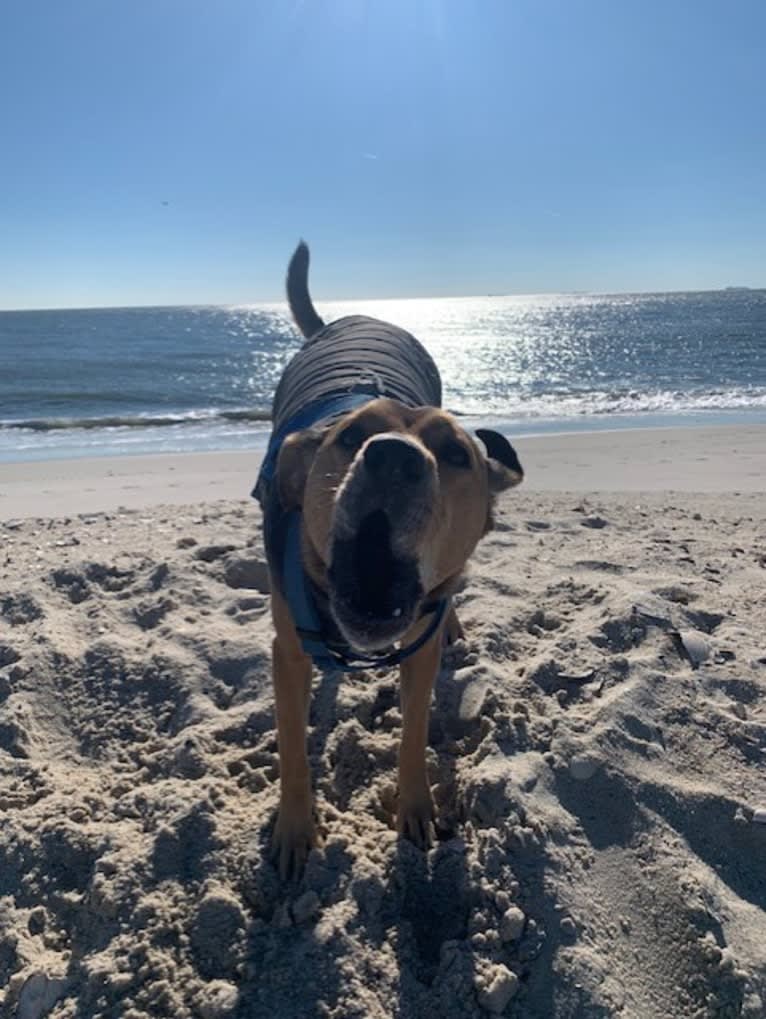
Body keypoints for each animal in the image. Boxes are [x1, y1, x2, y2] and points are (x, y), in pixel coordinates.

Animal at [254, 240, 525, 876]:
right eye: (351, 437)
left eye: (456, 453)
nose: (394, 457)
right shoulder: (287, 649)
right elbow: (294, 747)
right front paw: (295, 829)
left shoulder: (419, 651)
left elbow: (414, 730)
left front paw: (416, 807)